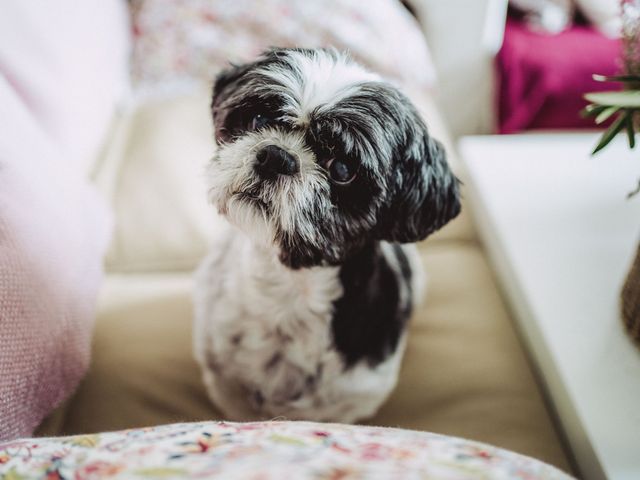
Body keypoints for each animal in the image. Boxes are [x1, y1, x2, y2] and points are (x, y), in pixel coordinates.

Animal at [194, 47, 460, 424]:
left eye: (343, 170)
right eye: (259, 119)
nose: (276, 156)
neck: (288, 289)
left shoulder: (348, 403)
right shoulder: (228, 387)